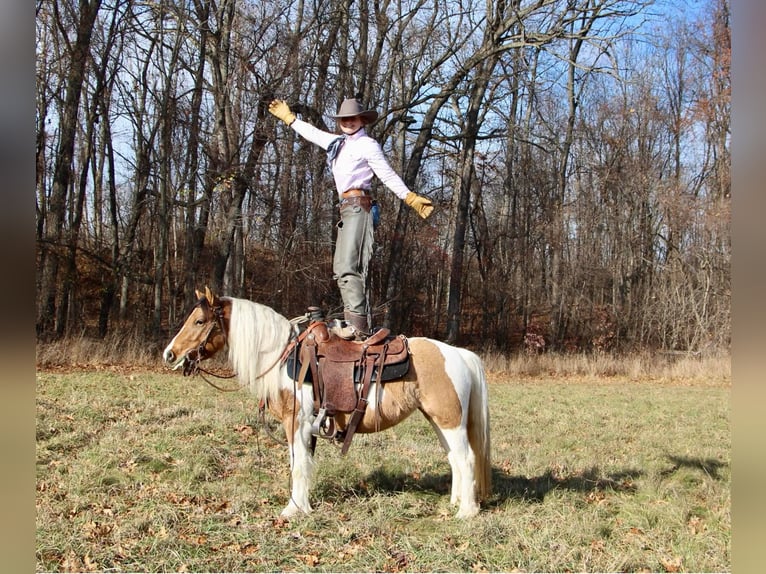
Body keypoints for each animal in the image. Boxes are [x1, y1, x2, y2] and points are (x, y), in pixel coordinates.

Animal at [165, 290, 496, 520]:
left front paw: (293, 510)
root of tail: (459, 354)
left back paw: (466, 512)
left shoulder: (296, 423)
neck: (283, 357)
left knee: (466, 459)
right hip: (438, 419)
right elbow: (301, 463)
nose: (170, 354)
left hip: (449, 421)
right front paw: (301, 505)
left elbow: (298, 465)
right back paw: (455, 502)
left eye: (199, 321)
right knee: (454, 459)